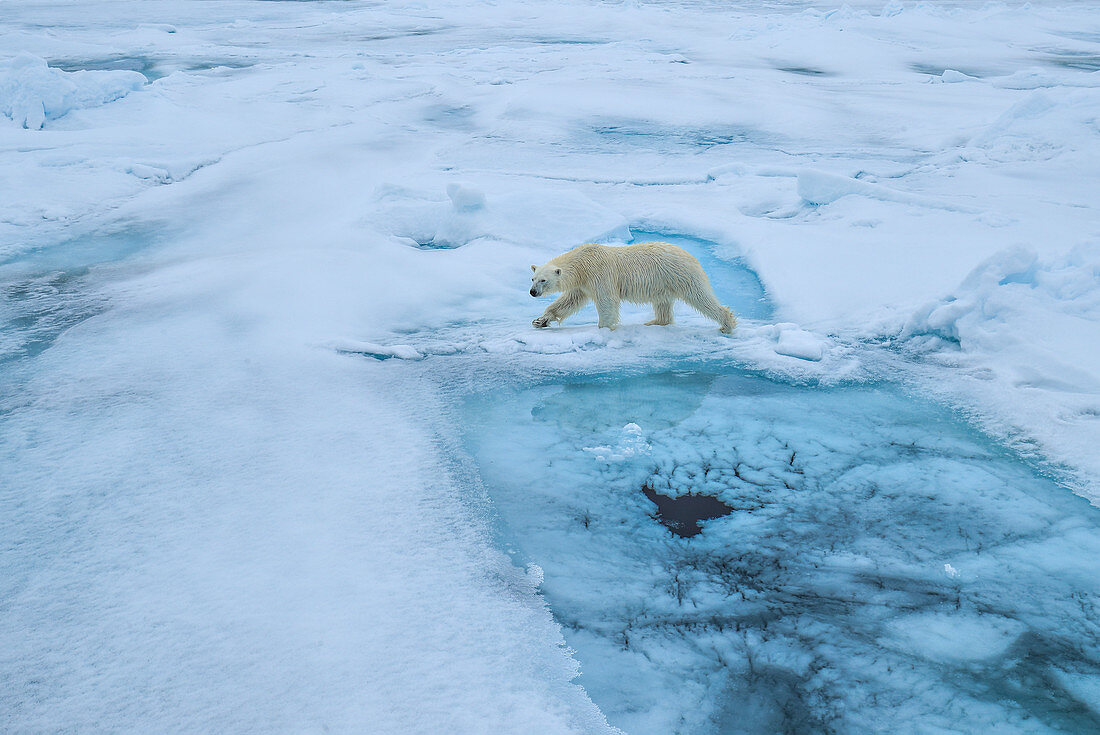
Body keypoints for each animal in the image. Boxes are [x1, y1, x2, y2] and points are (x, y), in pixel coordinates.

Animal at [528, 240, 734, 332]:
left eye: (543, 280)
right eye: (533, 278)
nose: (532, 292)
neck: (583, 262)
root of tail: (691, 256)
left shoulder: (599, 274)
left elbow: (607, 301)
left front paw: (603, 328)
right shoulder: (583, 283)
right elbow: (569, 301)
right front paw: (540, 320)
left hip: (680, 275)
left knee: (700, 297)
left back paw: (726, 323)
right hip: (664, 282)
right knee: (663, 303)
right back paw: (655, 321)